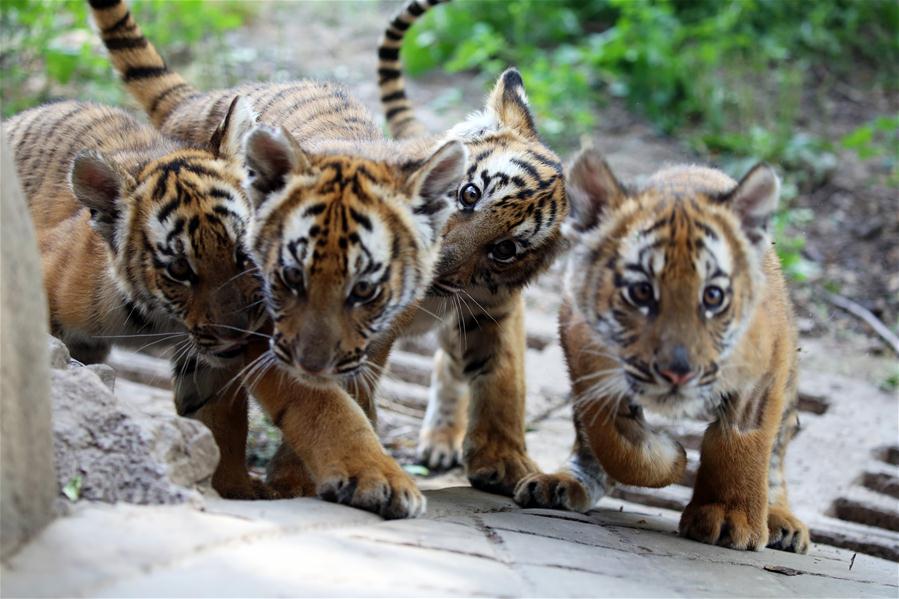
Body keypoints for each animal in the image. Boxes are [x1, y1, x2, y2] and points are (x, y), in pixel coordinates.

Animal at [3, 97, 273, 499]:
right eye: (179, 268)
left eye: (242, 253)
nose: (237, 332)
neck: (161, 317)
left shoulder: (208, 364)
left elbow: (222, 423)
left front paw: (232, 486)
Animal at [88, 0, 467, 518]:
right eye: (290, 277)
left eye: (364, 290)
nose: (312, 362)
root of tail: (199, 99)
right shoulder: (262, 334)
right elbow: (323, 406)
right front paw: (376, 478)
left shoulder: (371, 342)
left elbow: (352, 393)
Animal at [513, 147, 810, 553]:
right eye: (641, 292)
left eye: (713, 296)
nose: (677, 370)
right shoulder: (585, 356)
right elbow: (612, 441)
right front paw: (672, 458)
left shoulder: (764, 370)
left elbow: (744, 442)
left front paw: (730, 517)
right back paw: (558, 484)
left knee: (776, 456)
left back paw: (780, 520)